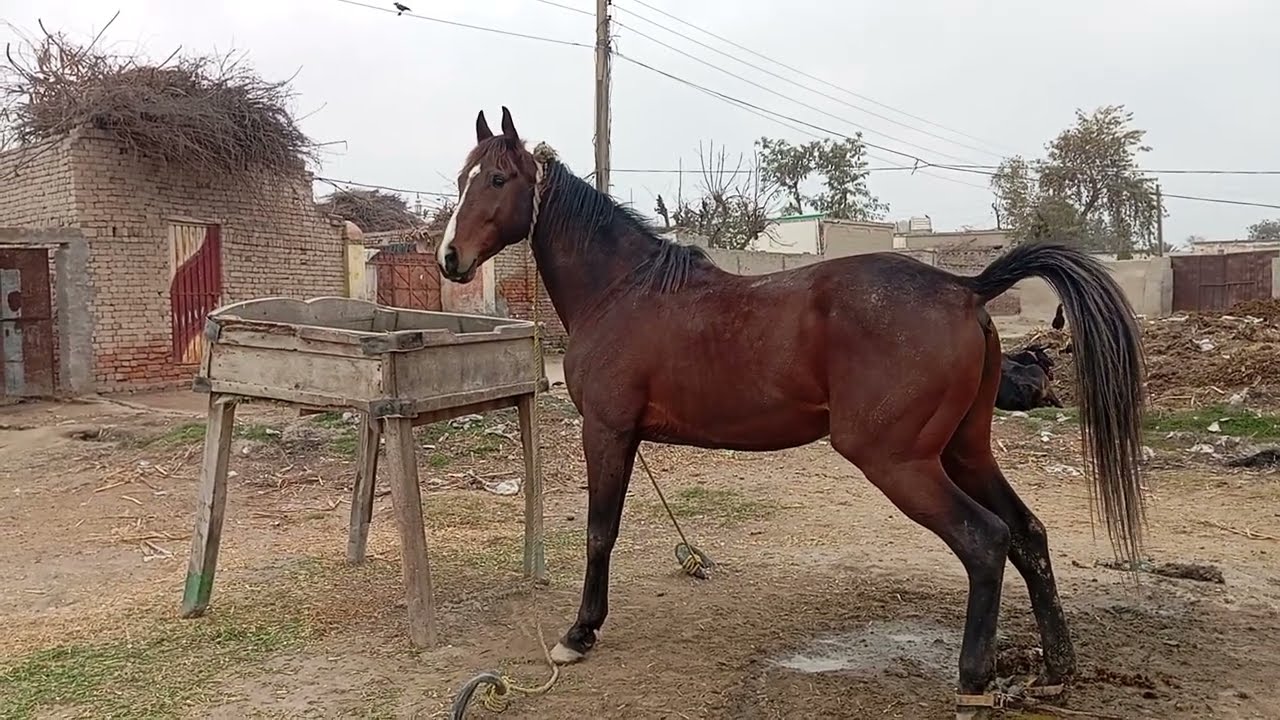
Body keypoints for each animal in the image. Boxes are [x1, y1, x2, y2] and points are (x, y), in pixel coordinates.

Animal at [436, 107, 1147, 717]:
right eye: (462, 176)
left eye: (496, 179)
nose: (449, 259)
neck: (622, 290)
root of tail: (964, 288)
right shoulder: (625, 436)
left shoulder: (607, 433)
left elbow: (598, 532)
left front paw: (580, 634)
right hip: (962, 452)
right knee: (1027, 534)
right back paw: (1056, 668)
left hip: (898, 462)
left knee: (985, 541)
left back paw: (974, 681)